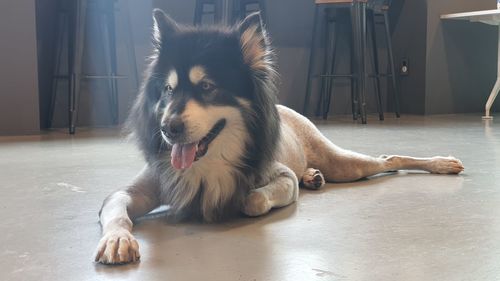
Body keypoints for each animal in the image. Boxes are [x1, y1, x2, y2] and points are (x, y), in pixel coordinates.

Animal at [94, 9, 464, 264]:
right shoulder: (135, 188)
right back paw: (313, 176)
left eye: (208, 87)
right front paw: (116, 239)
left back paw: (442, 163)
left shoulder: (280, 176)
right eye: (168, 90)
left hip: (344, 163)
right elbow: (116, 208)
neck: (211, 160)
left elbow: (255, 199)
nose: (168, 128)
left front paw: (240, 199)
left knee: (389, 159)